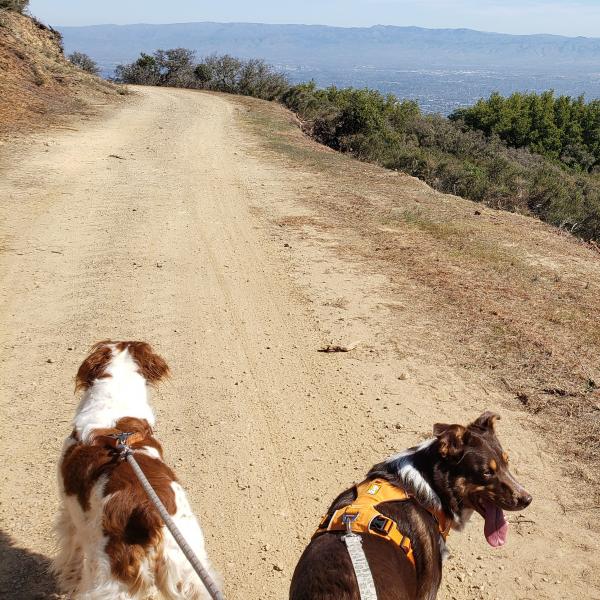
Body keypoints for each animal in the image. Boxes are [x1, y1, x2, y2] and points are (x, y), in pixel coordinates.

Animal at [53, 342, 218, 600]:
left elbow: (72, 557)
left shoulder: (71, 515)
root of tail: (150, 514)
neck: (116, 419)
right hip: (191, 573)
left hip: (112, 579)